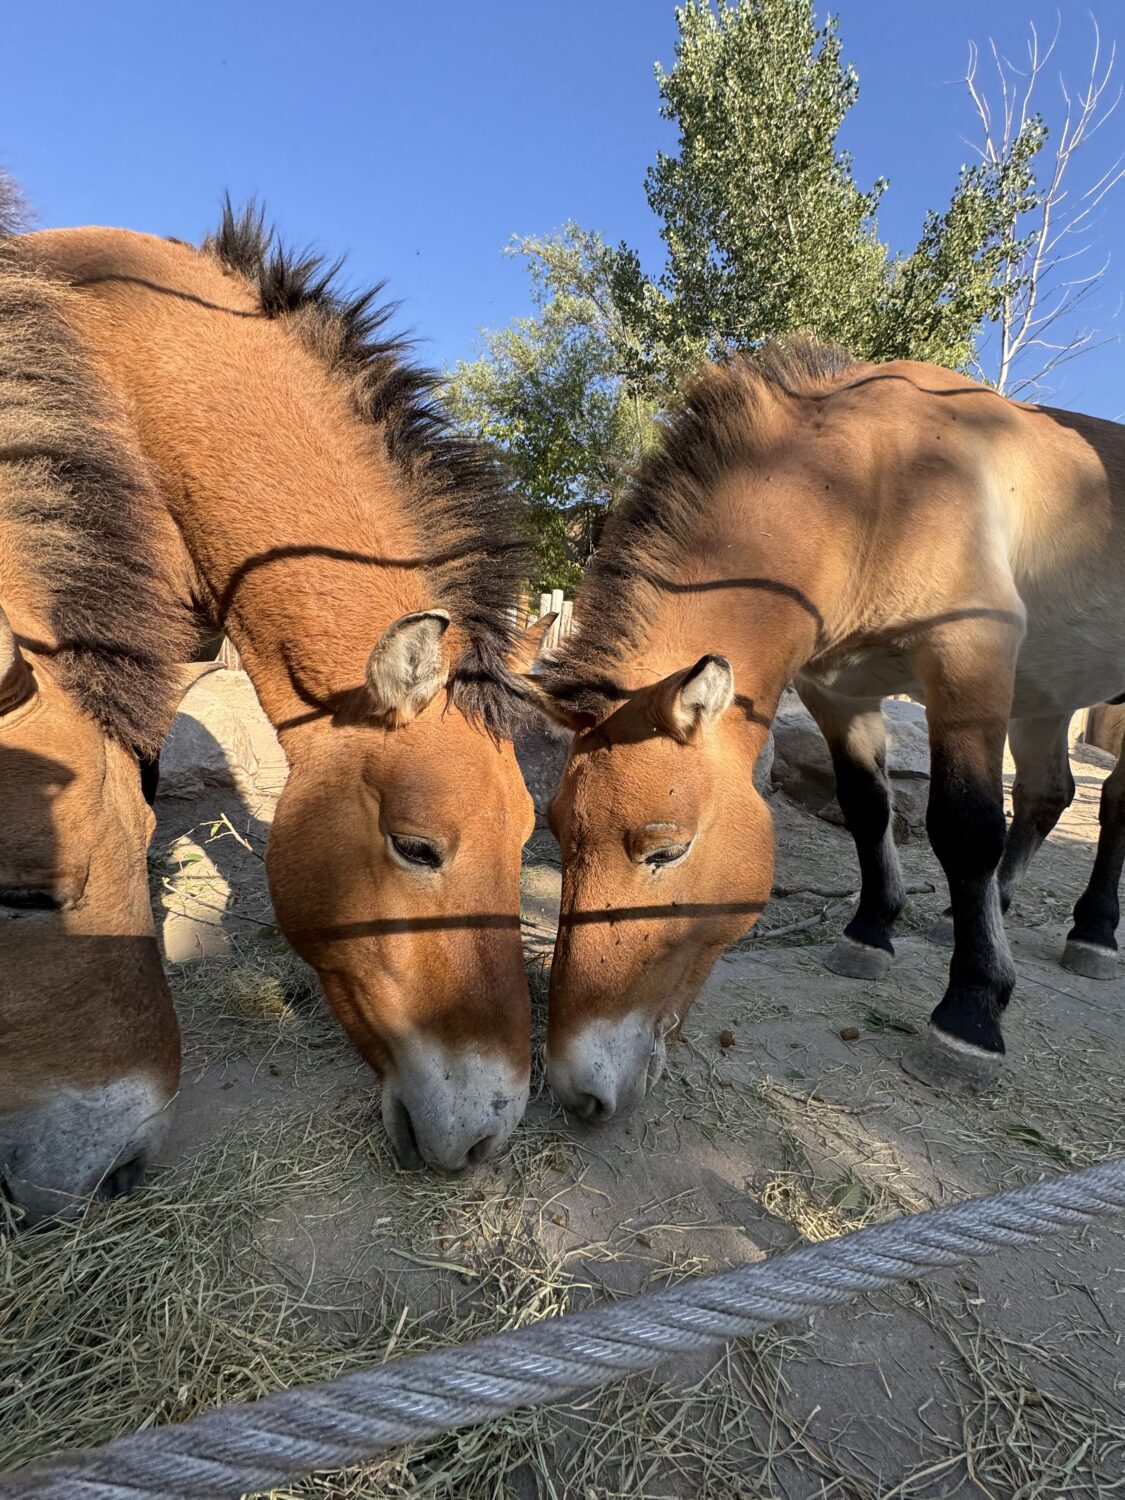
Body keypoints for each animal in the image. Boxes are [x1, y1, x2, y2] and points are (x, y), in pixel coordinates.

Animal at [535, 337, 1125, 1119]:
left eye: (665, 851)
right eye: (557, 831)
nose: (578, 1090)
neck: (872, 487)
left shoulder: (969, 659)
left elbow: (965, 828)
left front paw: (970, 1014)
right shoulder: (838, 693)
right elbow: (867, 810)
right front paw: (872, 933)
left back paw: (1093, 933)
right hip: (1047, 695)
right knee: (1048, 794)